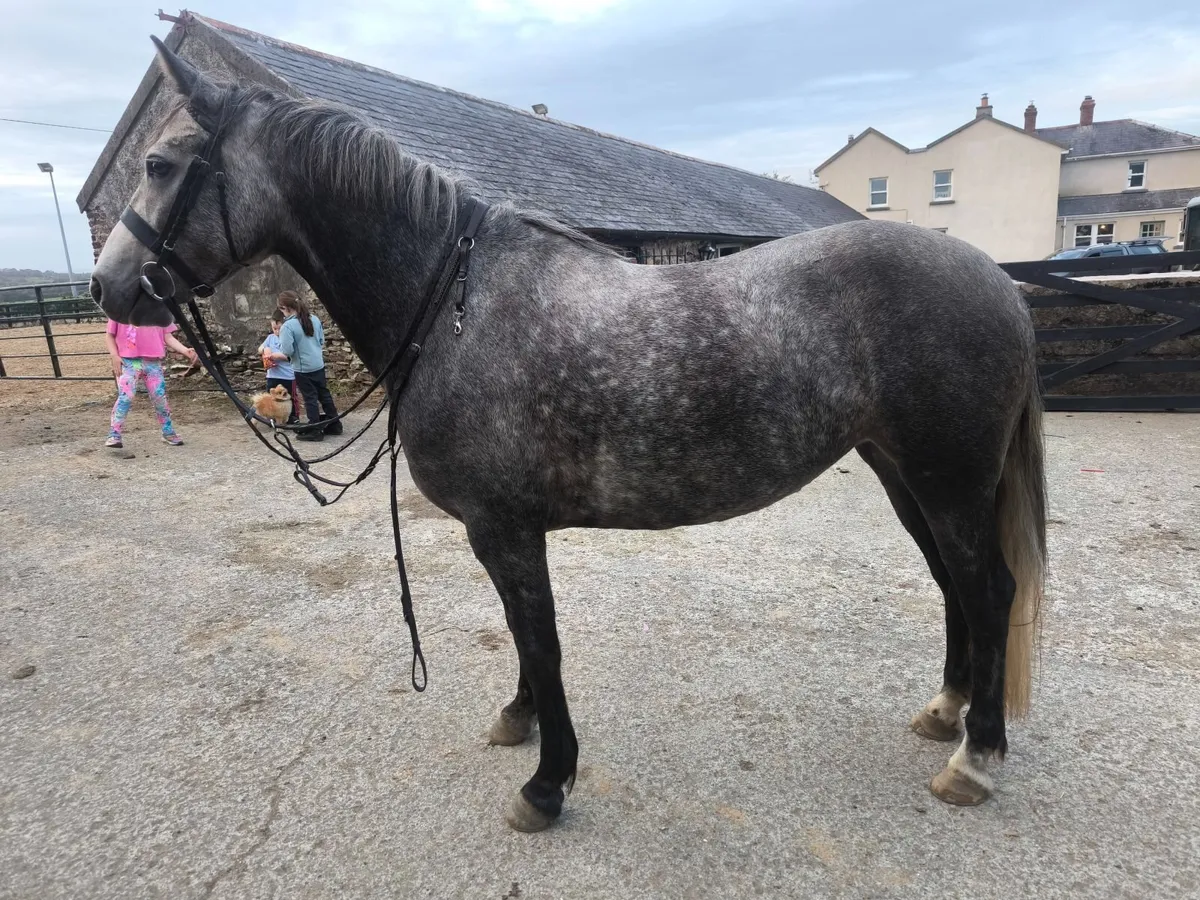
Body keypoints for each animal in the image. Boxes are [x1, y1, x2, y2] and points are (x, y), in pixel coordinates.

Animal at [91, 38, 1047, 832]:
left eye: (162, 163)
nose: (107, 288)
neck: (458, 305)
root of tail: (997, 283)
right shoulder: (502, 531)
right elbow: (523, 640)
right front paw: (519, 722)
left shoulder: (505, 529)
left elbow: (542, 642)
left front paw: (547, 786)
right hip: (903, 472)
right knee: (953, 586)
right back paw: (947, 713)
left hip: (948, 478)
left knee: (988, 589)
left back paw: (977, 759)